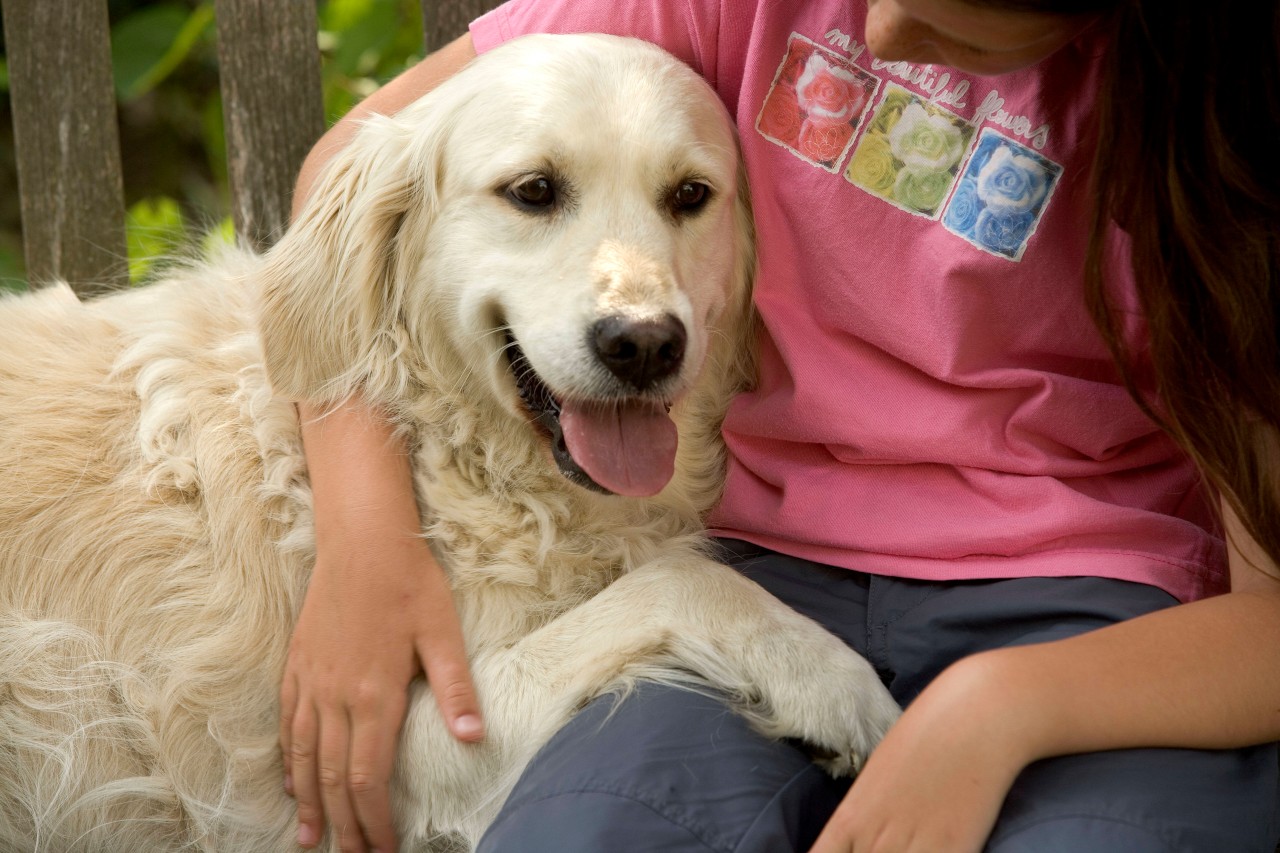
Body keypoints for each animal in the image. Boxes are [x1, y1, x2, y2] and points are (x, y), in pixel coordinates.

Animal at [0, 34, 901, 850]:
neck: (439, 442)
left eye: (690, 194)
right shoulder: (393, 751)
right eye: (533, 190)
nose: (644, 344)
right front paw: (833, 683)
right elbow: (682, 579)